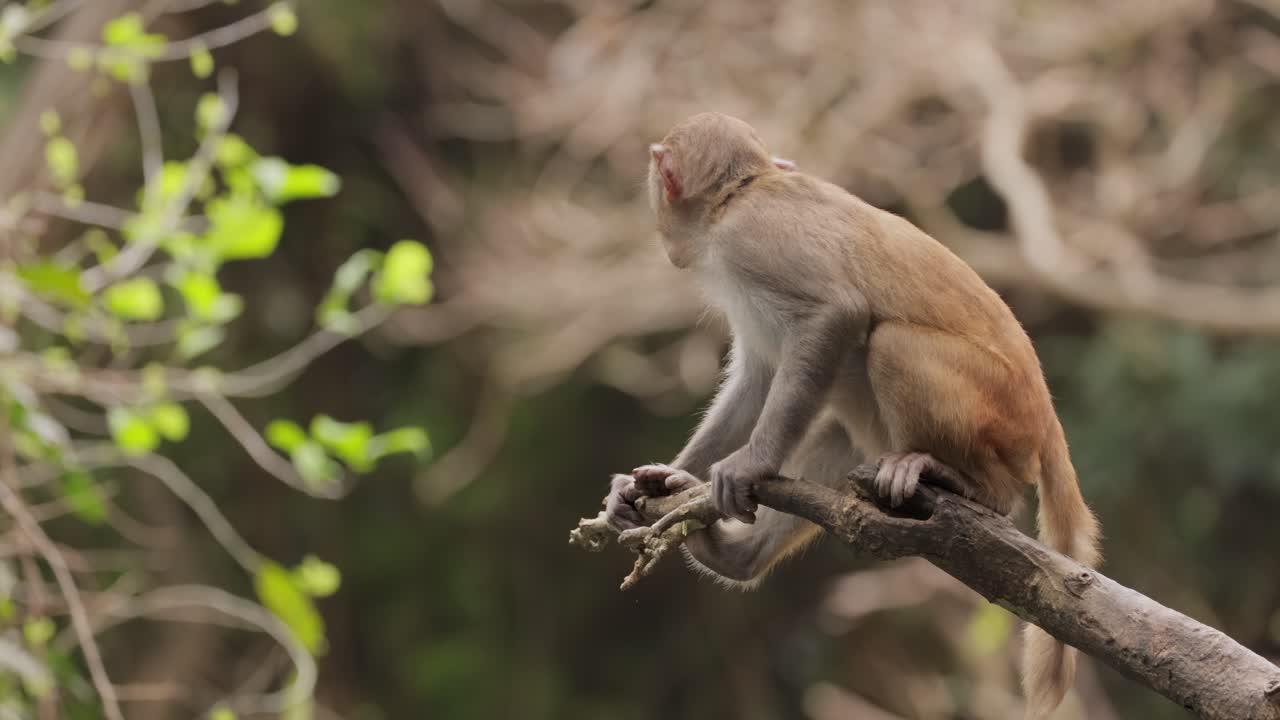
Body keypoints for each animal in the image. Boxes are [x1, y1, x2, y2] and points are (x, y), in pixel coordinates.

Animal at [603, 112, 1100, 719]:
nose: (654, 210)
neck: (740, 193)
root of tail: (1046, 416)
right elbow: (755, 381)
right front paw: (660, 480)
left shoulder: (750, 241)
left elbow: (835, 313)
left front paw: (748, 467)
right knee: (843, 433)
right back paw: (733, 558)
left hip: (1000, 418)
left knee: (890, 345)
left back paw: (971, 487)